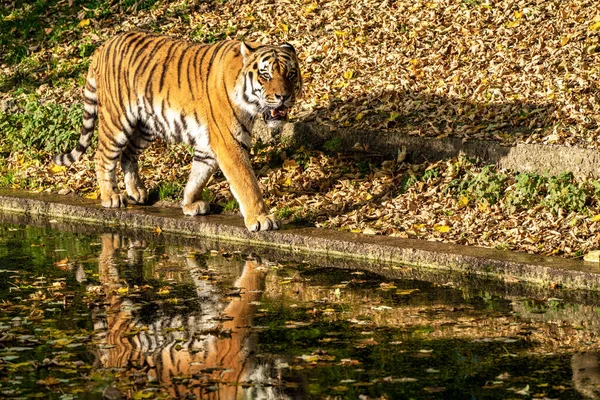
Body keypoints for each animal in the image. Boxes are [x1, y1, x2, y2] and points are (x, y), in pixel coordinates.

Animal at [53, 30, 302, 231]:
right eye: (266, 75)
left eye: (291, 74)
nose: (283, 96)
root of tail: (103, 46)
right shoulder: (229, 143)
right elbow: (247, 182)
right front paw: (261, 218)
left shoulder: (208, 144)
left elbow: (198, 175)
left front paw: (190, 204)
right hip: (117, 120)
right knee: (102, 156)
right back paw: (111, 196)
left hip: (146, 126)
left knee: (128, 154)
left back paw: (136, 192)